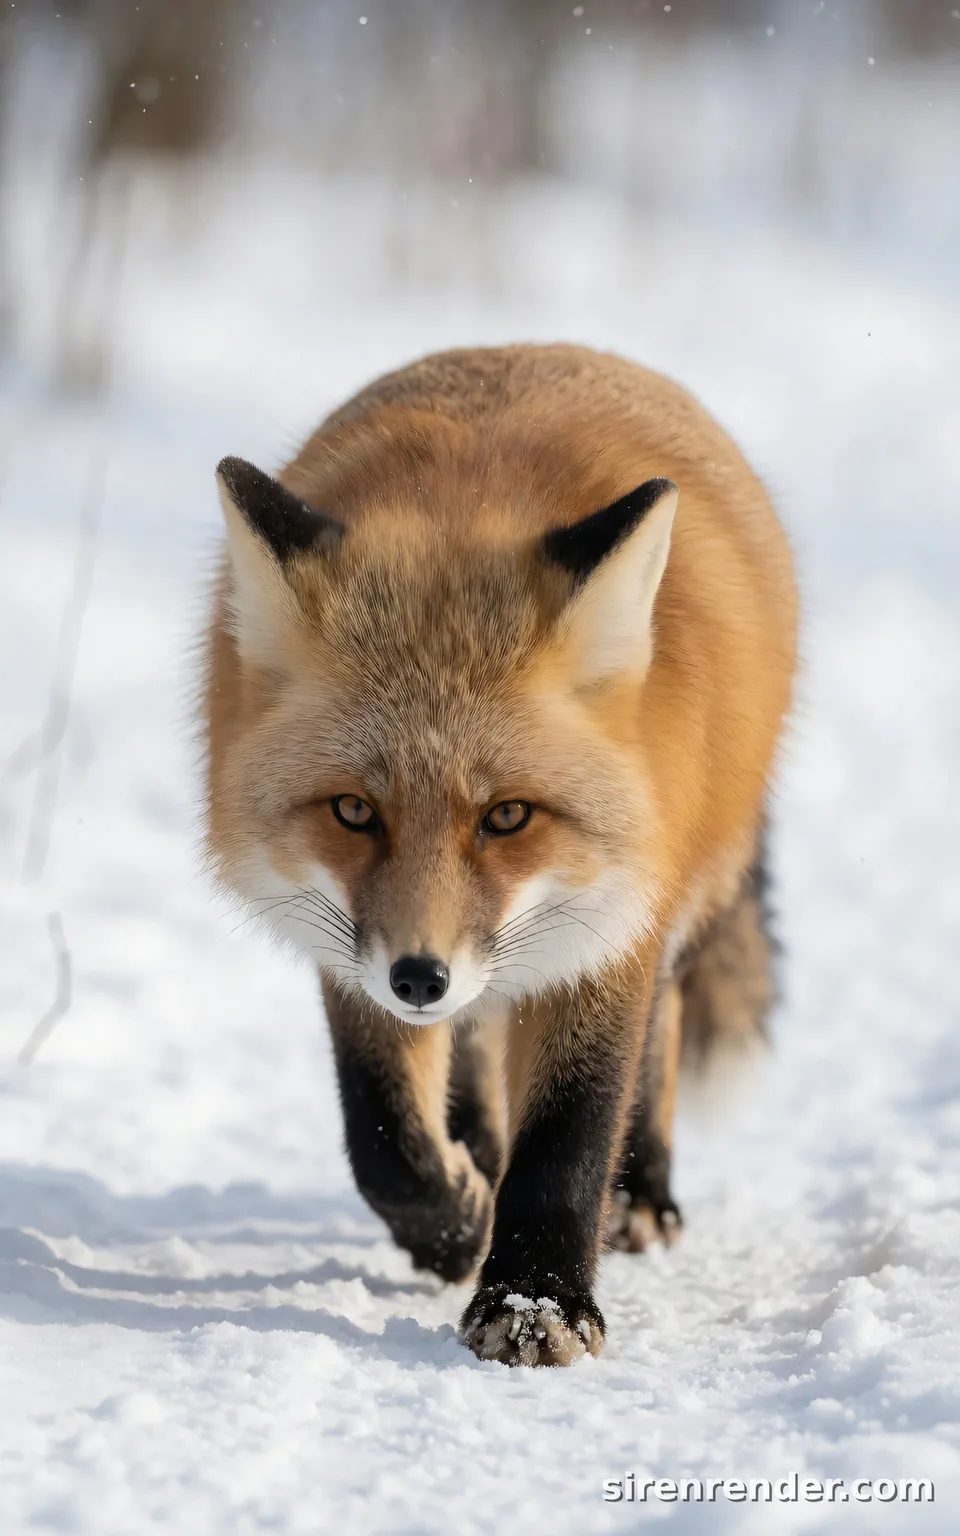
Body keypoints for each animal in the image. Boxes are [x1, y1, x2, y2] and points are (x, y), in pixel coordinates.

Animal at [203, 344, 797, 1367]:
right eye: (354, 811)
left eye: (509, 816)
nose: (420, 978)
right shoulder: (349, 952)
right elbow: (385, 1139)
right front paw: (454, 1224)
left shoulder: (607, 935)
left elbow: (569, 1138)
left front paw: (537, 1304)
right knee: (471, 1056)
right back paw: (479, 1156)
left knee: (665, 1024)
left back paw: (642, 1194)